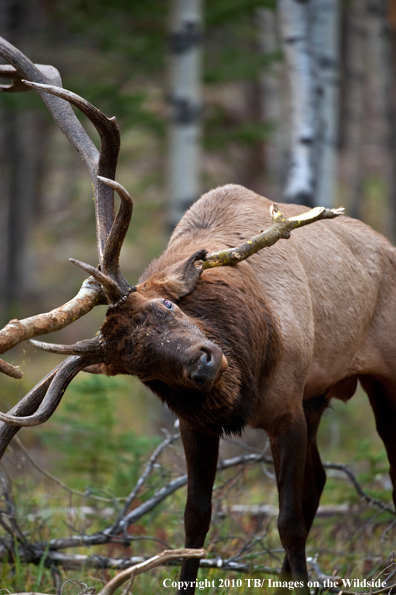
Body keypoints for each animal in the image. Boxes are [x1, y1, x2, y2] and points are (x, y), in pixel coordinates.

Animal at [0, 38, 394, 595]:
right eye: (139, 365)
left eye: (167, 305)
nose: (204, 361)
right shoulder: (197, 424)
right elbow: (196, 519)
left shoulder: (287, 409)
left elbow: (288, 522)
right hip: (318, 397)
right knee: (318, 480)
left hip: (380, 377)